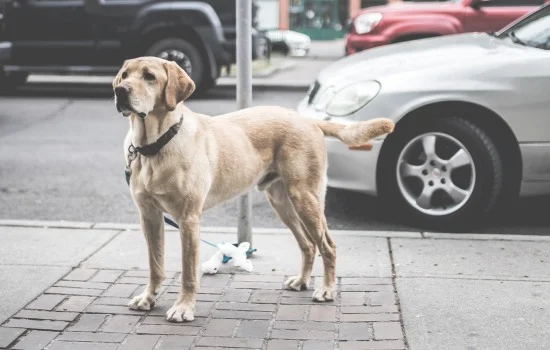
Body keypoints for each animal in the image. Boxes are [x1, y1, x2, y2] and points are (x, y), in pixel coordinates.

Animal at [113, 56, 396, 322]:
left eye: (149, 76)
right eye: (124, 75)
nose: (119, 91)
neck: (155, 145)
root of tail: (309, 121)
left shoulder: (188, 218)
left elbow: (188, 272)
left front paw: (184, 308)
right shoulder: (149, 216)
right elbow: (155, 264)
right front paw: (148, 298)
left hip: (306, 197)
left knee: (327, 245)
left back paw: (326, 289)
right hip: (283, 202)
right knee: (308, 245)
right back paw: (302, 281)